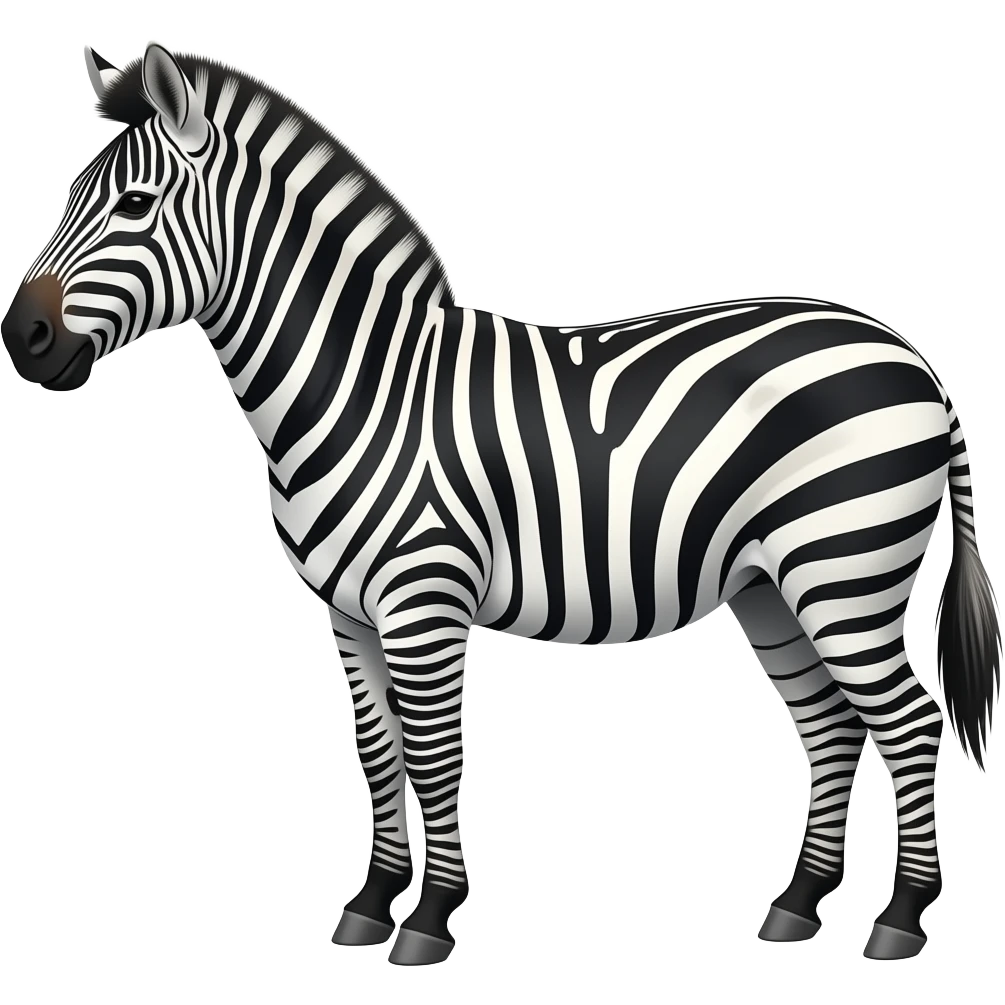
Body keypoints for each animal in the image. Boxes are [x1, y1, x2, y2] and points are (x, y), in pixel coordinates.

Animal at [1, 42, 999, 967]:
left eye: (134, 206)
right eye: (71, 192)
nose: (23, 337)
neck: (365, 388)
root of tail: (915, 360)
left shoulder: (423, 601)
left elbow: (434, 753)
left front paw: (428, 920)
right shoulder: (349, 616)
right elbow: (378, 752)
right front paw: (370, 905)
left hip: (845, 569)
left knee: (908, 722)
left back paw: (899, 919)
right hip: (770, 587)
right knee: (831, 724)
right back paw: (796, 904)